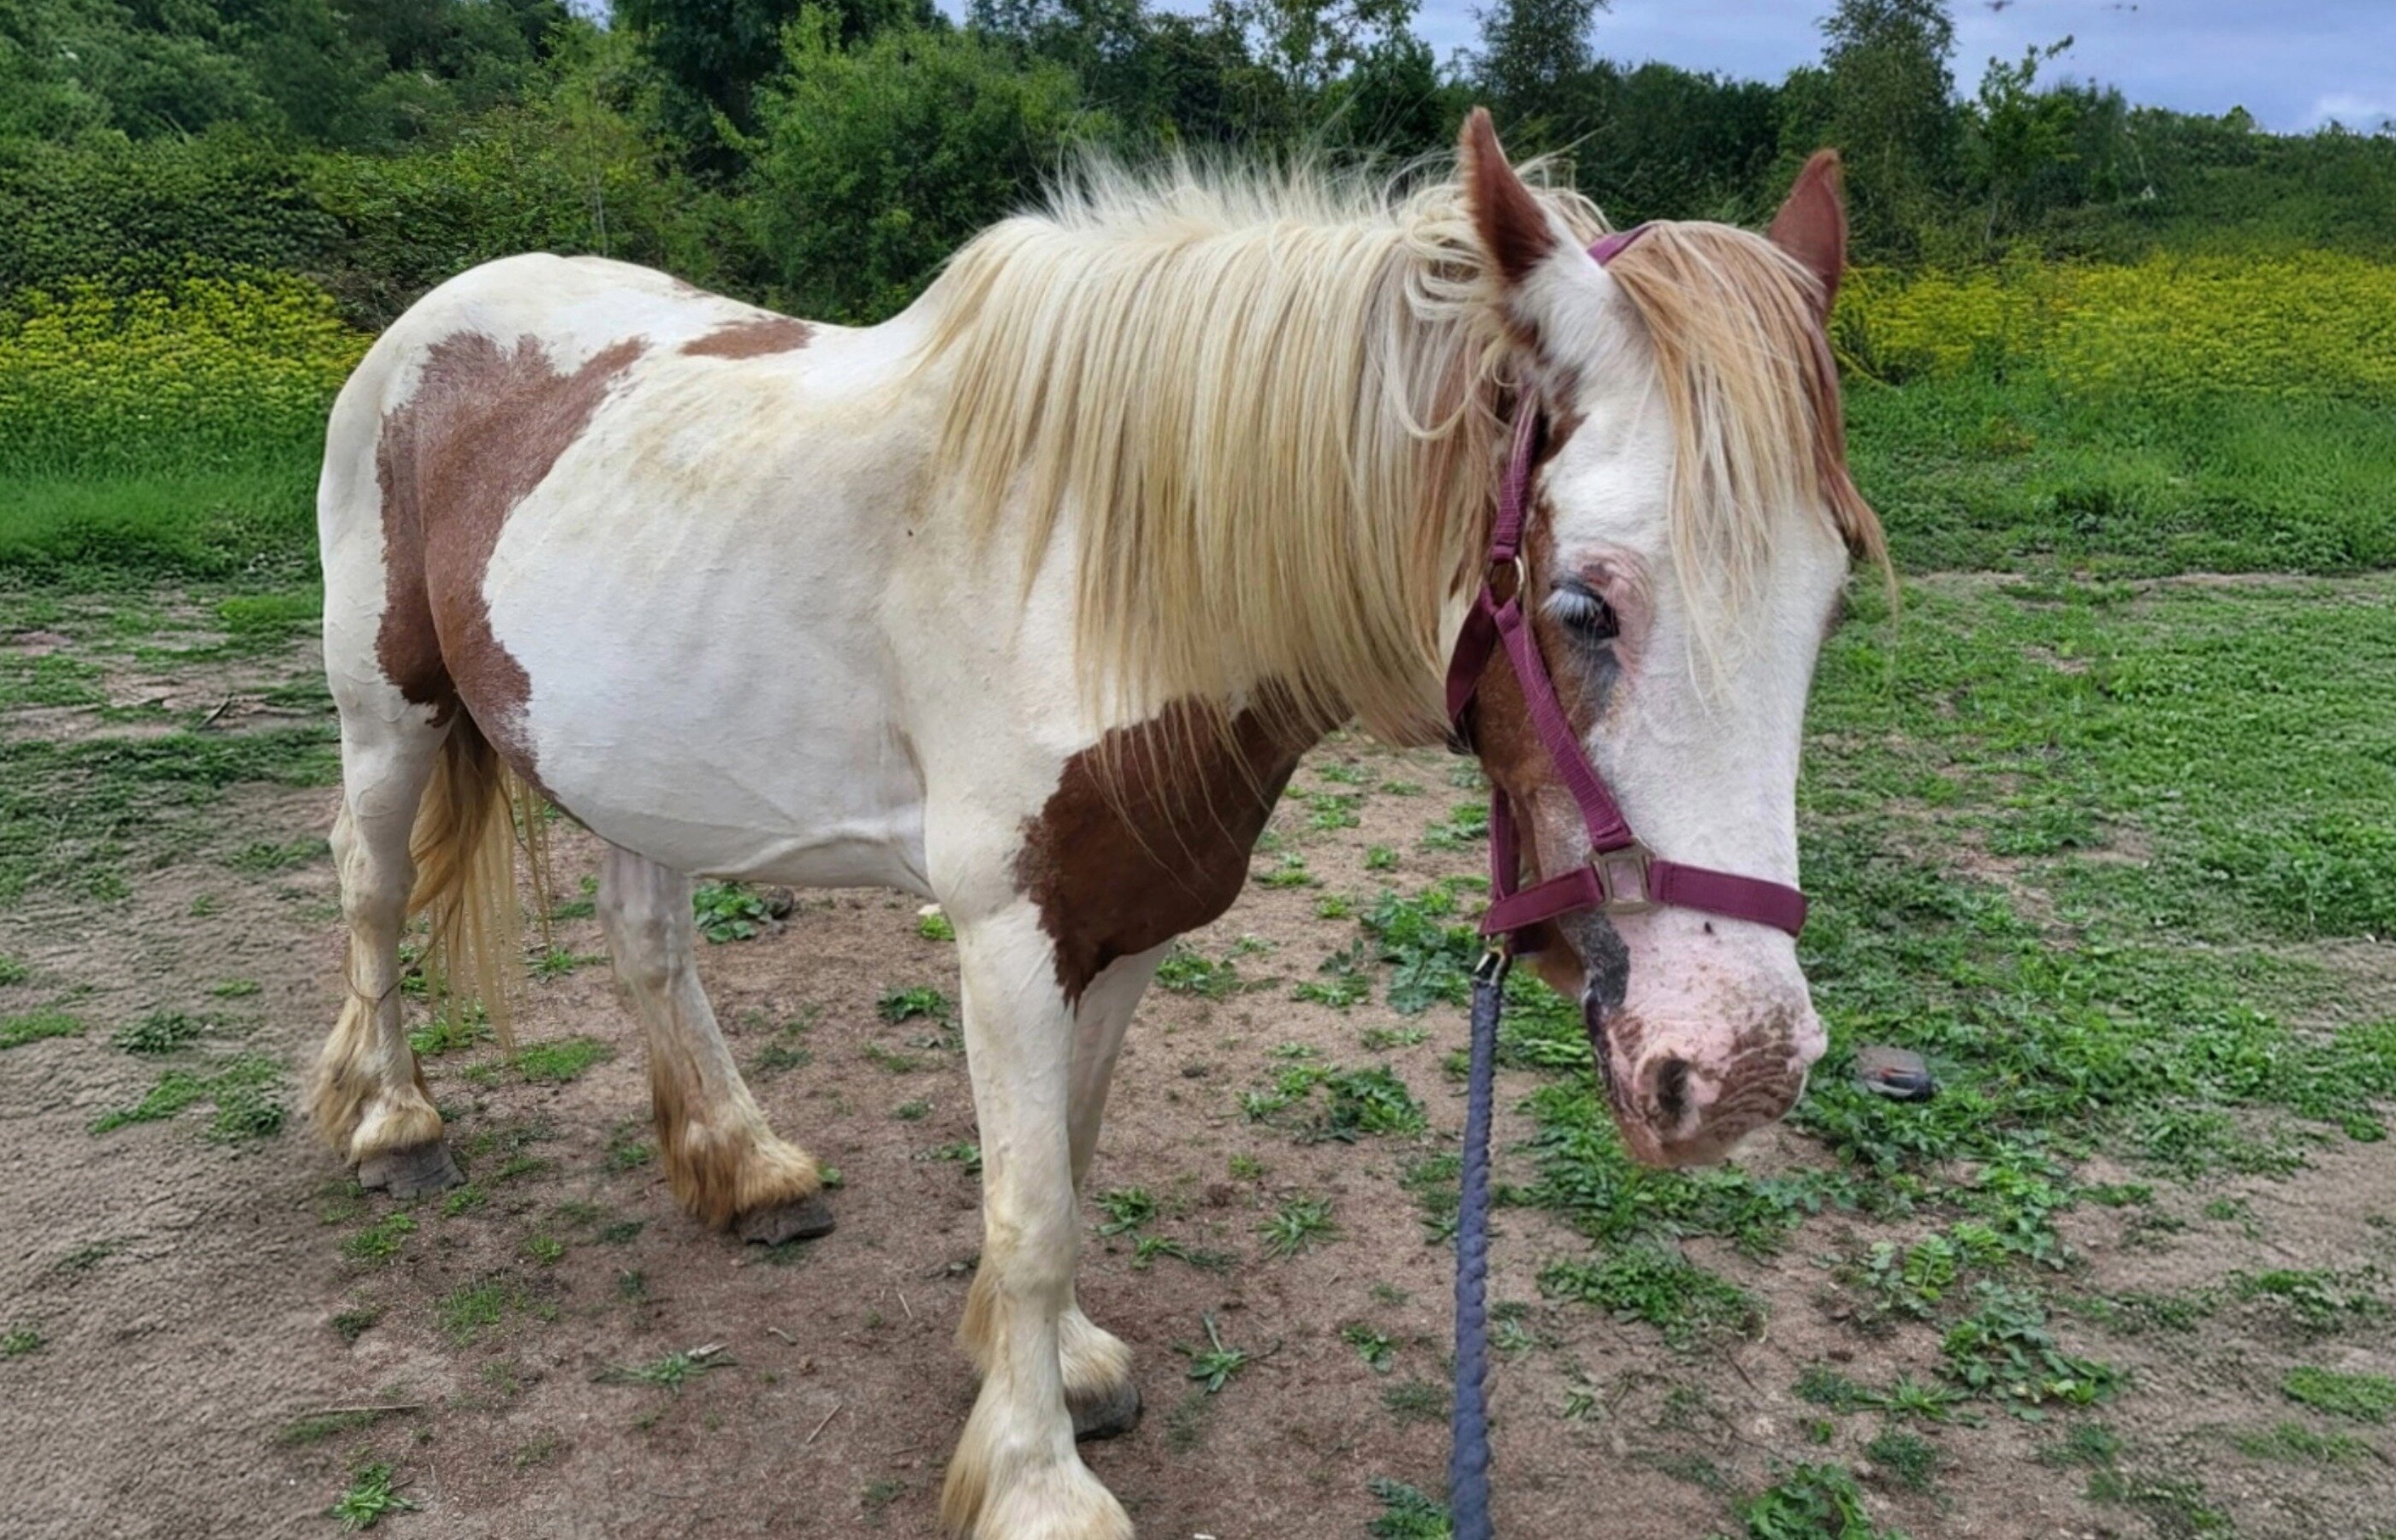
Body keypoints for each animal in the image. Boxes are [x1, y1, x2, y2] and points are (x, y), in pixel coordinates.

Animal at [306, 109, 1882, 1537]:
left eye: (1830, 602)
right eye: (1581, 604)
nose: (1740, 1067)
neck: (1099, 568)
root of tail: (438, 315)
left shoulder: (1125, 926)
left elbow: (1068, 1156)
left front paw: (1054, 1372)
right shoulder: (1010, 936)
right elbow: (1030, 1209)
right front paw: (1035, 1482)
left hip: (631, 755)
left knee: (645, 941)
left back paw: (745, 1167)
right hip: (388, 716)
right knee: (369, 893)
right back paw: (393, 1125)